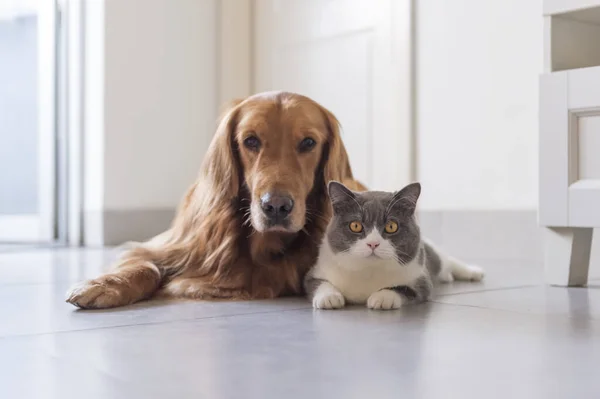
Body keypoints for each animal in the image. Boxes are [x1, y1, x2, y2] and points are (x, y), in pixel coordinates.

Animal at [65, 91, 366, 310]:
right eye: (250, 141)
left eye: (308, 143)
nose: (276, 207)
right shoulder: (175, 245)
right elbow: (144, 263)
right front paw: (104, 284)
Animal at [304, 180, 482, 310]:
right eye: (355, 225)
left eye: (391, 226)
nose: (373, 243)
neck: (369, 270)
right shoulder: (314, 272)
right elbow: (317, 283)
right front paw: (329, 297)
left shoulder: (422, 281)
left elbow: (403, 288)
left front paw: (382, 297)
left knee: (448, 260)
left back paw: (474, 272)